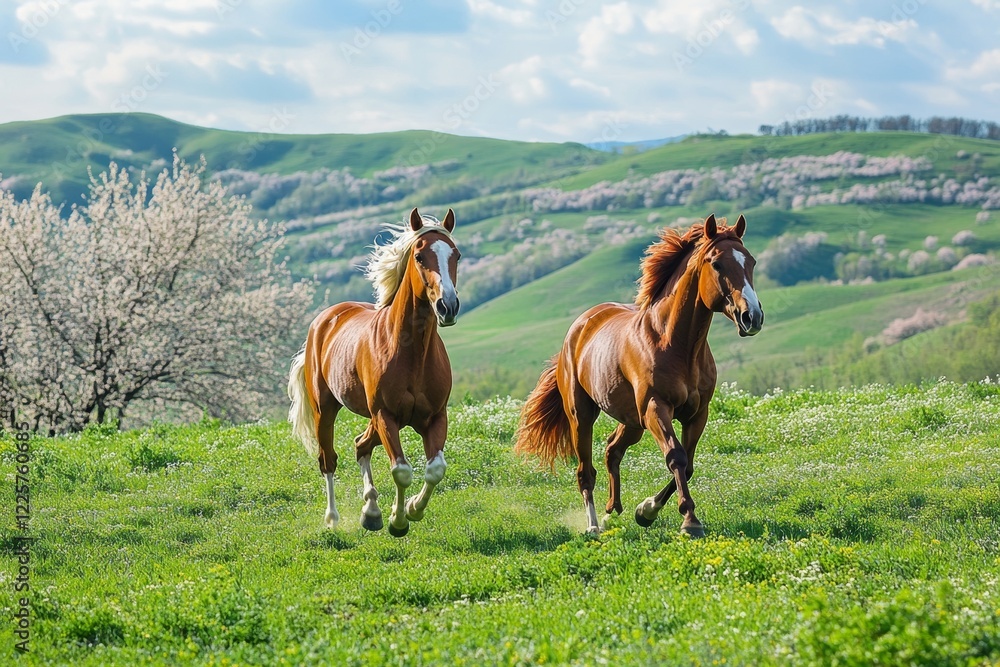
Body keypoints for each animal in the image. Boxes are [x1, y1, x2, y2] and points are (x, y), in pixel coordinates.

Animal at [288, 207, 461, 537]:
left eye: (456, 255)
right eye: (419, 257)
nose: (448, 306)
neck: (411, 352)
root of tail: (324, 320)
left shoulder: (435, 417)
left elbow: (435, 469)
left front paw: (412, 509)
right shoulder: (386, 416)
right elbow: (402, 470)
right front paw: (398, 521)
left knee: (360, 444)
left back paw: (371, 511)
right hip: (325, 409)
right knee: (328, 459)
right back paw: (333, 518)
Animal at [514, 214, 763, 536]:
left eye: (751, 261)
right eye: (717, 264)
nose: (752, 317)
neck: (675, 344)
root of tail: (579, 327)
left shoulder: (697, 414)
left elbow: (689, 465)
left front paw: (645, 511)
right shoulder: (657, 408)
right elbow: (676, 457)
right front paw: (688, 521)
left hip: (632, 421)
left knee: (612, 450)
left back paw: (612, 513)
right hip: (582, 415)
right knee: (585, 471)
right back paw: (593, 526)